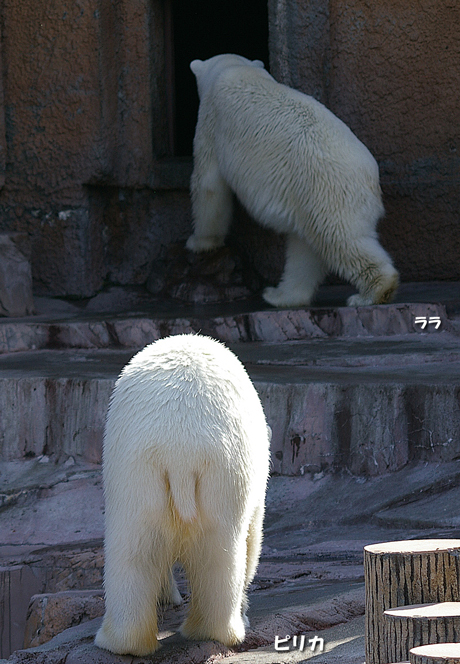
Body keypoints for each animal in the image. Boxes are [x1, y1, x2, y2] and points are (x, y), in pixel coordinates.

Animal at [95, 334, 272, 656]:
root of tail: (180, 453)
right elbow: (254, 542)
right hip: (221, 473)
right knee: (223, 552)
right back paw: (218, 630)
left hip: (136, 473)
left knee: (133, 548)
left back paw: (124, 641)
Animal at [187, 54, 398, 308]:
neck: (234, 68)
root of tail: (371, 181)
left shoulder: (211, 120)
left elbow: (209, 185)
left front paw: (199, 242)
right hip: (307, 196)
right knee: (305, 250)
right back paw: (280, 296)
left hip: (327, 191)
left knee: (342, 240)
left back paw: (372, 293)